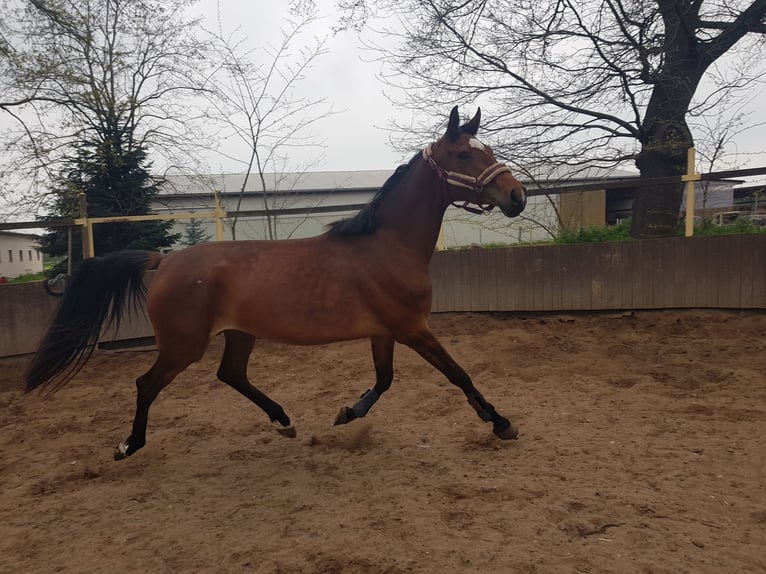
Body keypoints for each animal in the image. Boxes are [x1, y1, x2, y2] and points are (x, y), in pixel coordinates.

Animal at [25, 106, 527, 460]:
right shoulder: (412, 328)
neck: (386, 246)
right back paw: (128, 446)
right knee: (146, 384)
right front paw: (501, 423)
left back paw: (284, 421)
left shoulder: (386, 331)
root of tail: (165, 261)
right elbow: (458, 373)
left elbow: (384, 381)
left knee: (231, 374)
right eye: (464, 154)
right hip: (183, 346)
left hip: (239, 334)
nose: (516, 196)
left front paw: (346, 414)